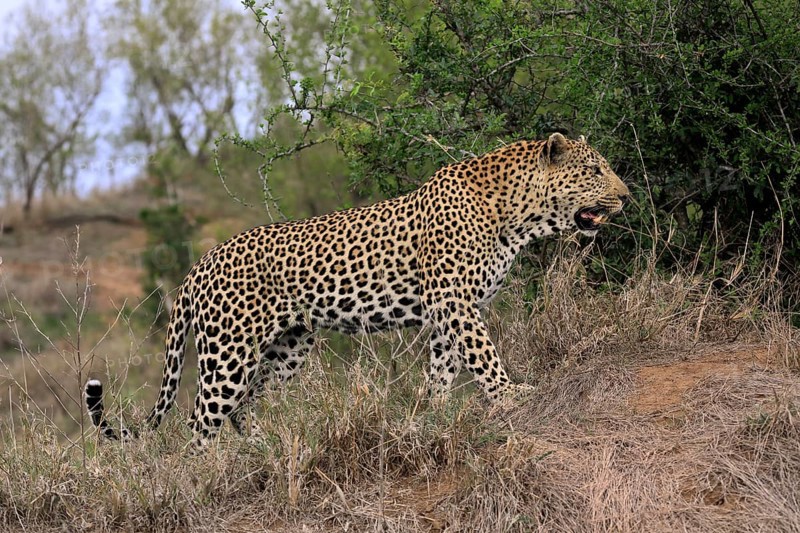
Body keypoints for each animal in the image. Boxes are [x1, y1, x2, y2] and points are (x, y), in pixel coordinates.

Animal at [85, 133, 631, 451]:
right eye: (594, 171)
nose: (626, 196)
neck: (517, 216)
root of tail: (200, 264)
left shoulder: (448, 309)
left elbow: (444, 367)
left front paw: (434, 414)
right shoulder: (454, 300)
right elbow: (482, 353)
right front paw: (511, 395)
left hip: (288, 347)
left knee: (248, 408)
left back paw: (263, 450)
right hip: (228, 355)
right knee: (200, 422)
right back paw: (209, 471)